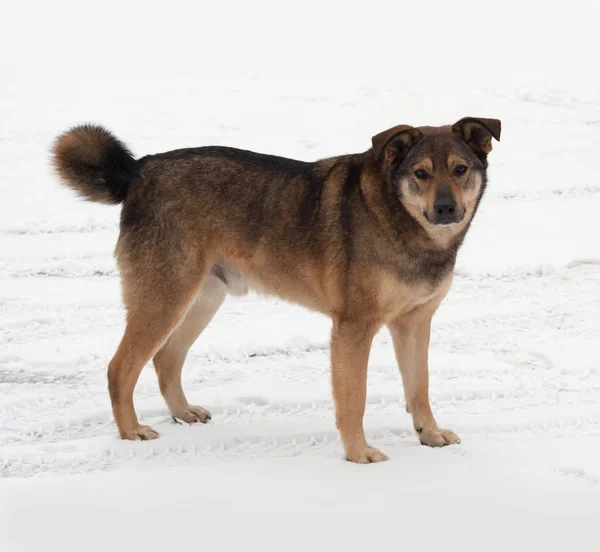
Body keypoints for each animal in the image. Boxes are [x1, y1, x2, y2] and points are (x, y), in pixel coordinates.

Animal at [51, 118, 502, 464]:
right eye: (421, 173)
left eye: (460, 169)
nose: (445, 208)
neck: (401, 219)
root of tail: (139, 170)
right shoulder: (354, 327)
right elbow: (353, 399)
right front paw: (358, 455)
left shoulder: (415, 323)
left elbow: (419, 388)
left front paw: (430, 434)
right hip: (164, 297)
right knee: (120, 368)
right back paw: (131, 432)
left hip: (201, 298)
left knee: (166, 359)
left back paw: (182, 413)